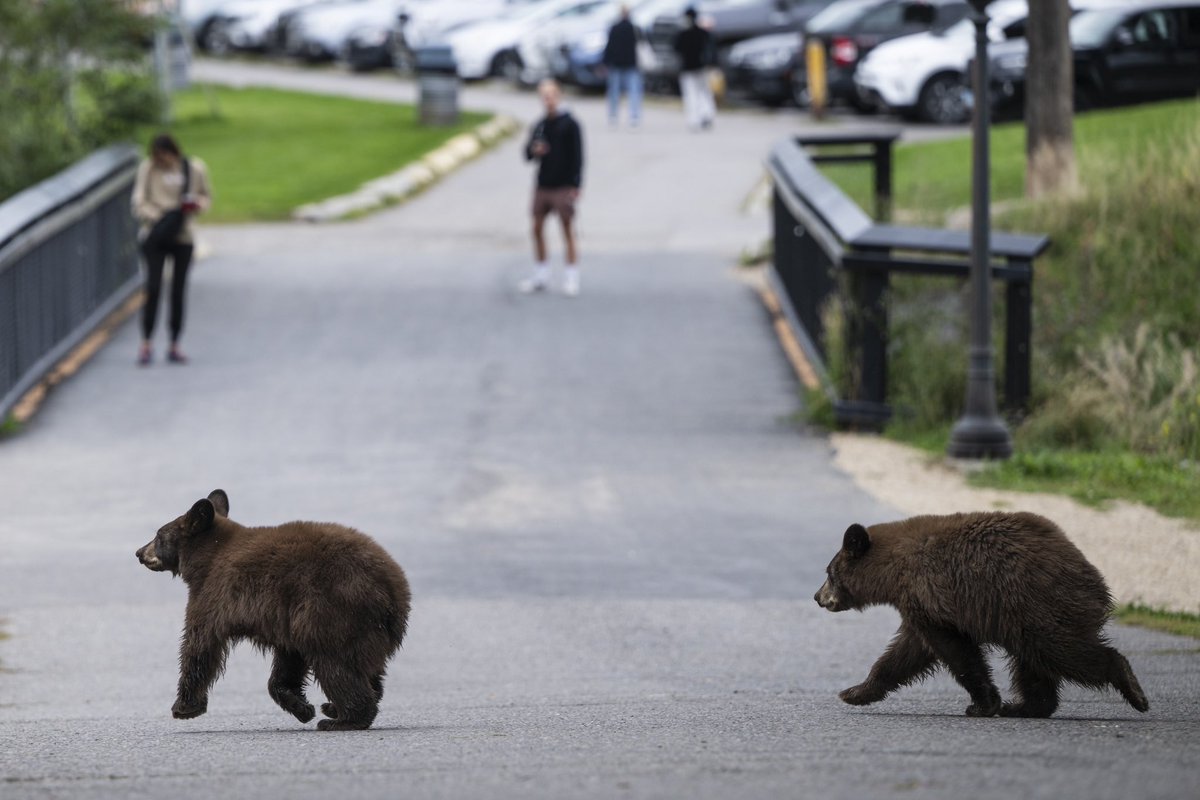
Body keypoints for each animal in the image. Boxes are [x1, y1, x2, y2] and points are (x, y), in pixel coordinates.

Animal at [135, 489, 411, 731]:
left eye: (158, 535)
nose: (139, 552)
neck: (208, 556)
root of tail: (393, 592)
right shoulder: (285, 615)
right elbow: (288, 659)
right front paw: (301, 707)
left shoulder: (214, 592)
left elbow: (200, 643)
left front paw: (184, 707)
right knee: (365, 668)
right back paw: (335, 707)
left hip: (332, 612)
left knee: (335, 663)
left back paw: (344, 719)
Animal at [814, 511, 1148, 718]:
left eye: (829, 572)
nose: (817, 597)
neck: (895, 571)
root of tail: (1095, 580)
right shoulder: (922, 606)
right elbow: (906, 653)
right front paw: (855, 691)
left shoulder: (933, 596)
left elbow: (958, 653)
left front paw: (983, 704)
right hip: (1024, 619)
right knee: (1032, 664)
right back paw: (1023, 707)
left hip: (1038, 606)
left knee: (1064, 652)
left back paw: (1133, 688)